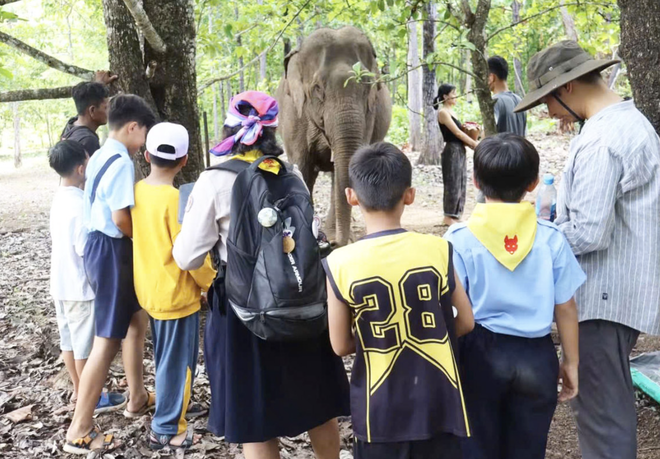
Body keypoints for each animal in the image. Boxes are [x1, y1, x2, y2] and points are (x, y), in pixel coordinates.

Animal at [275, 26, 392, 247]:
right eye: (318, 88)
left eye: (367, 86)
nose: (334, 244)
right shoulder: (294, 116)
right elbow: (303, 169)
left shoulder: (369, 116)